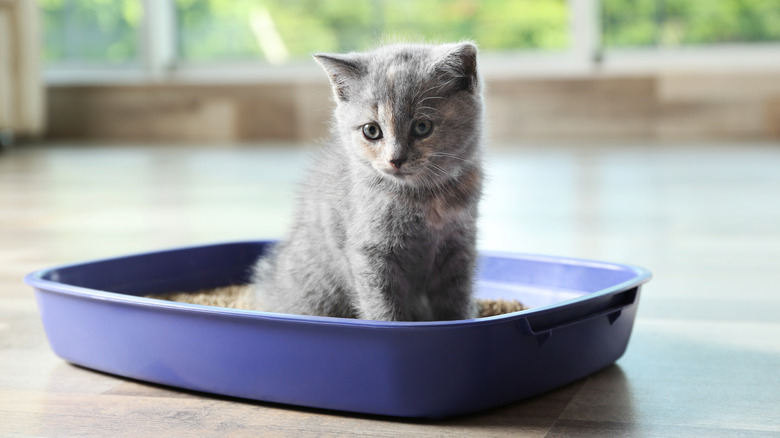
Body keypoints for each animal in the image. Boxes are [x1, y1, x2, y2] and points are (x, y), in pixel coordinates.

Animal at [250, 42, 482, 322]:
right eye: (371, 130)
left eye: (422, 126)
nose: (395, 159)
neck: (423, 198)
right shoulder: (370, 253)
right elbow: (383, 305)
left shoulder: (459, 246)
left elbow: (456, 300)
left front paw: (462, 320)